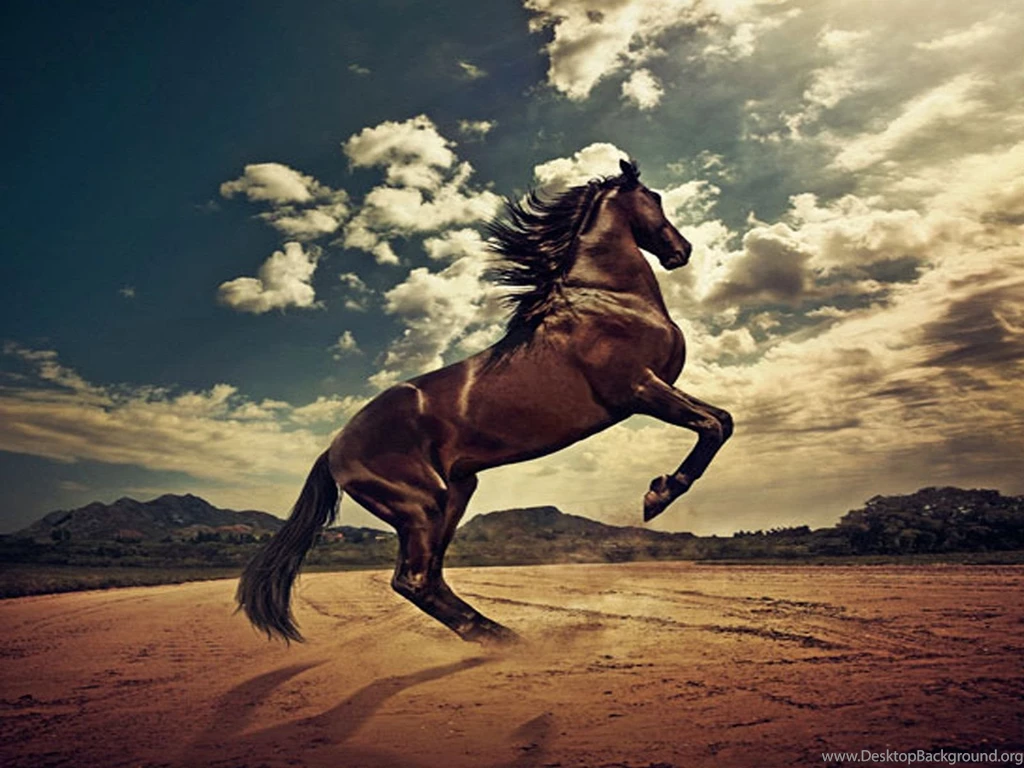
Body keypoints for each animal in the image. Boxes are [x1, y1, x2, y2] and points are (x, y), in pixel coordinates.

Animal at [236, 159, 733, 645]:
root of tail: (333, 449)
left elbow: (721, 421)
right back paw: (503, 640)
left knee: (428, 578)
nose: (682, 251)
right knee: (414, 580)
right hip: (421, 505)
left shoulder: (650, 388)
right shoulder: (638, 389)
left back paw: (501, 636)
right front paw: (658, 495)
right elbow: (714, 425)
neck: (608, 299)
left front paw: (660, 488)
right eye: (655, 198)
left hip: (455, 493)